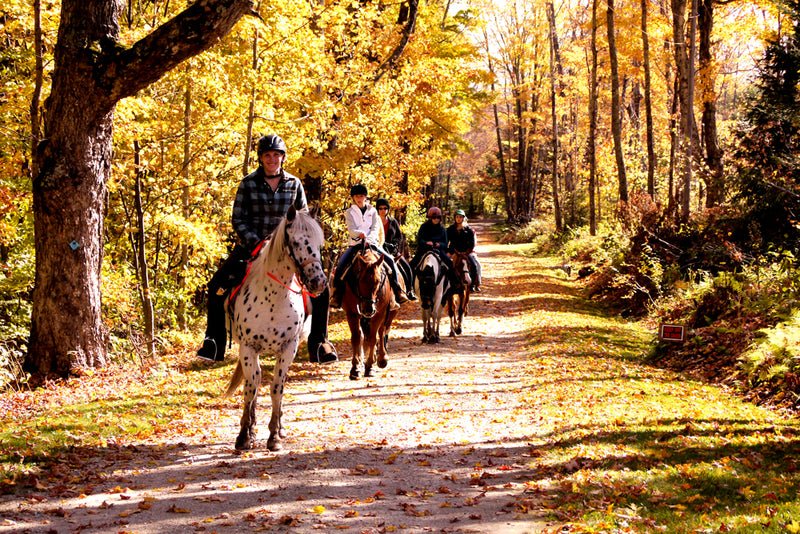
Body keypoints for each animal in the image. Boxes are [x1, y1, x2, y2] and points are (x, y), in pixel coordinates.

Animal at [223, 206, 328, 451]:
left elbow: (277, 388)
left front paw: (274, 436)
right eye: (296, 242)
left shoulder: (289, 348)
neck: (274, 297)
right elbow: (251, 388)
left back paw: (279, 428)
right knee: (255, 380)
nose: (319, 282)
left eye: (319, 244)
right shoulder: (248, 347)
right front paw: (244, 435)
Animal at [341, 246, 398, 380]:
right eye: (361, 280)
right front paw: (355, 368)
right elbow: (357, 338)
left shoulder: (379, 313)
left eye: (378, 280)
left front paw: (370, 367)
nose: (368, 309)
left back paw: (382, 359)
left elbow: (373, 338)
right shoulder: (352, 313)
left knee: (381, 331)